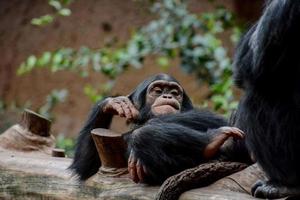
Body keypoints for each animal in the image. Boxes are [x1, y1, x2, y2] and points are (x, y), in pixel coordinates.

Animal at [69, 73, 248, 183]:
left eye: (175, 92)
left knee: (142, 135)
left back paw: (213, 140)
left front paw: (132, 143)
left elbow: (214, 118)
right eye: (158, 90)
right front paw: (112, 103)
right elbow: (85, 167)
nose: (167, 96)